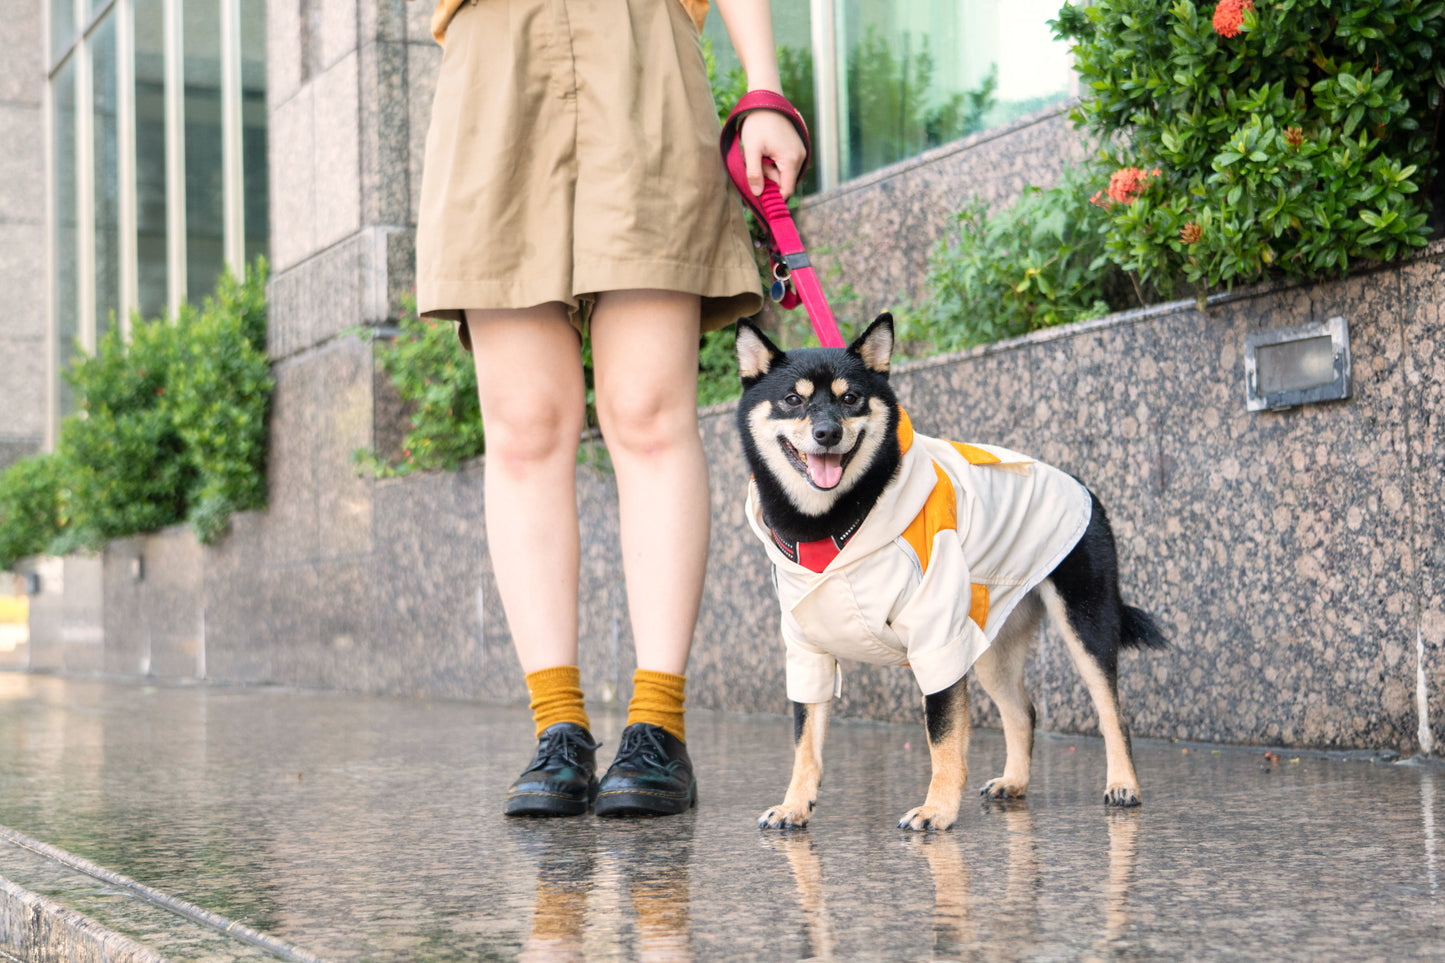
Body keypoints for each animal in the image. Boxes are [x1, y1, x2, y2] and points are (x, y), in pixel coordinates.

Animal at [734, 313, 1161, 827]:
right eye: (792, 400)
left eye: (850, 398)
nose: (827, 433)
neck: (831, 525)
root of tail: (1081, 485)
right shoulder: (807, 648)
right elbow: (805, 742)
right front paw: (795, 805)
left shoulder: (936, 638)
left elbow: (942, 739)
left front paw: (936, 811)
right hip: (990, 638)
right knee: (1024, 711)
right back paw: (1014, 781)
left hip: (1085, 621)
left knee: (1112, 710)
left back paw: (1123, 784)